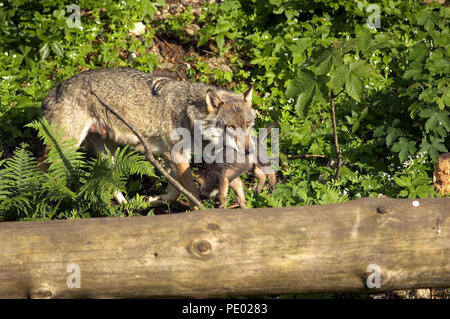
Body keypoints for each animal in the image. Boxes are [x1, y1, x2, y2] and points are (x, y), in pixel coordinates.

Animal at [40, 67, 255, 210]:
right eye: (230, 127)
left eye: (247, 124)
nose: (249, 151)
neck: (191, 115)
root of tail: (53, 91)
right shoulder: (178, 157)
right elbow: (191, 191)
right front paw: (198, 211)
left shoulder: (169, 157)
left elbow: (175, 191)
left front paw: (154, 200)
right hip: (65, 149)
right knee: (42, 171)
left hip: (106, 152)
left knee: (111, 181)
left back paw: (127, 205)